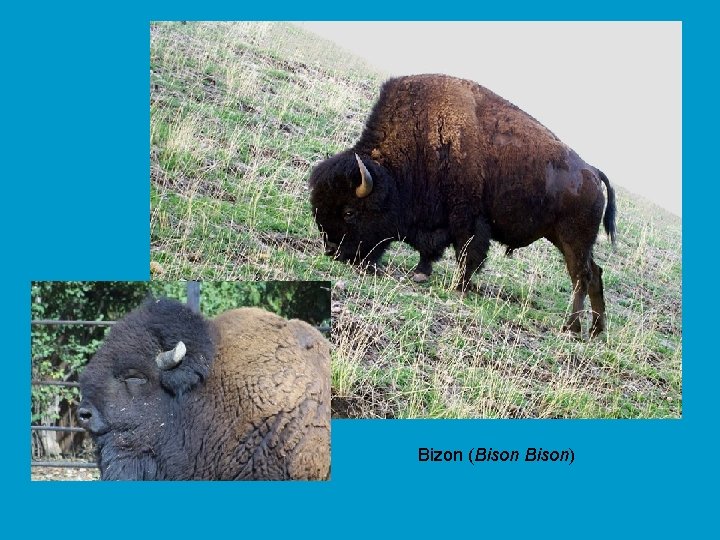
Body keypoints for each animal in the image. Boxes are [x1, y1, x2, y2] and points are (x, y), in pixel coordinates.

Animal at [309, 74, 616, 336]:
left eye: (349, 212)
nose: (333, 250)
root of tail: (591, 172)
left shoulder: (468, 219)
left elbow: (468, 252)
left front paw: (459, 287)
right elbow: (432, 250)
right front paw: (422, 273)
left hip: (572, 239)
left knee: (581, 277)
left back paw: (571, 328)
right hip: (567, 239)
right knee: (595, 274)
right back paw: (595, 330)